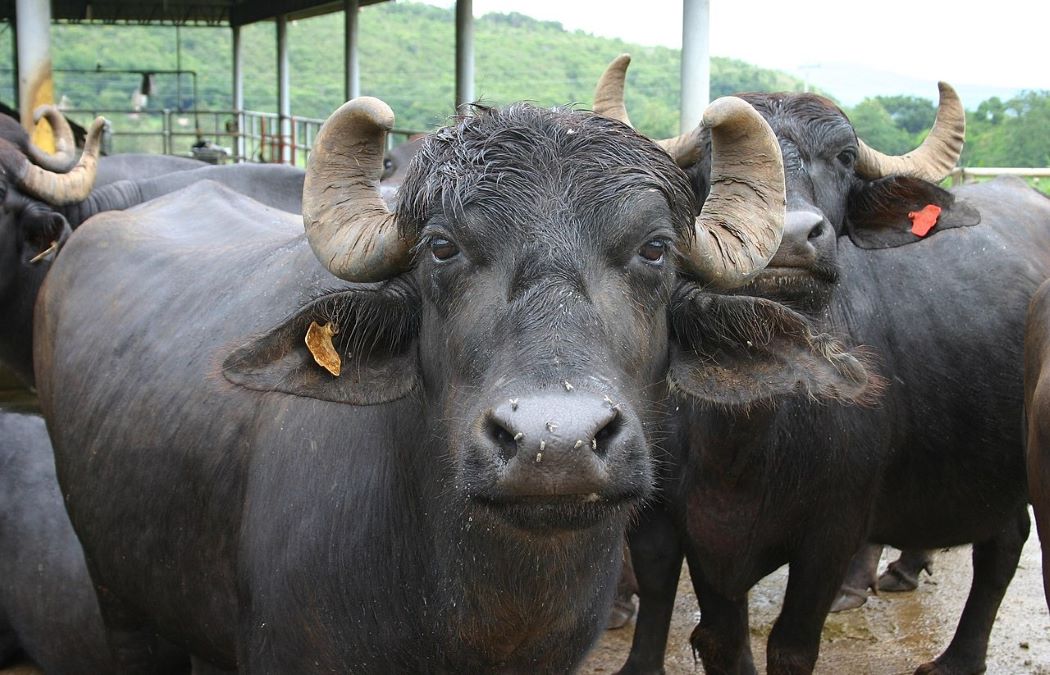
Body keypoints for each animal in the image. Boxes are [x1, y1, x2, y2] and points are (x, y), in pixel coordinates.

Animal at [600, 56, 1050, 675]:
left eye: (843, 157)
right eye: (715, 157)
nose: (791, 237)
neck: (750, 429)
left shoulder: (832, 532)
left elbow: (791, 647)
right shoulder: (691, 531)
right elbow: (721, 640)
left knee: (1004, 544)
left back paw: (952, 655)